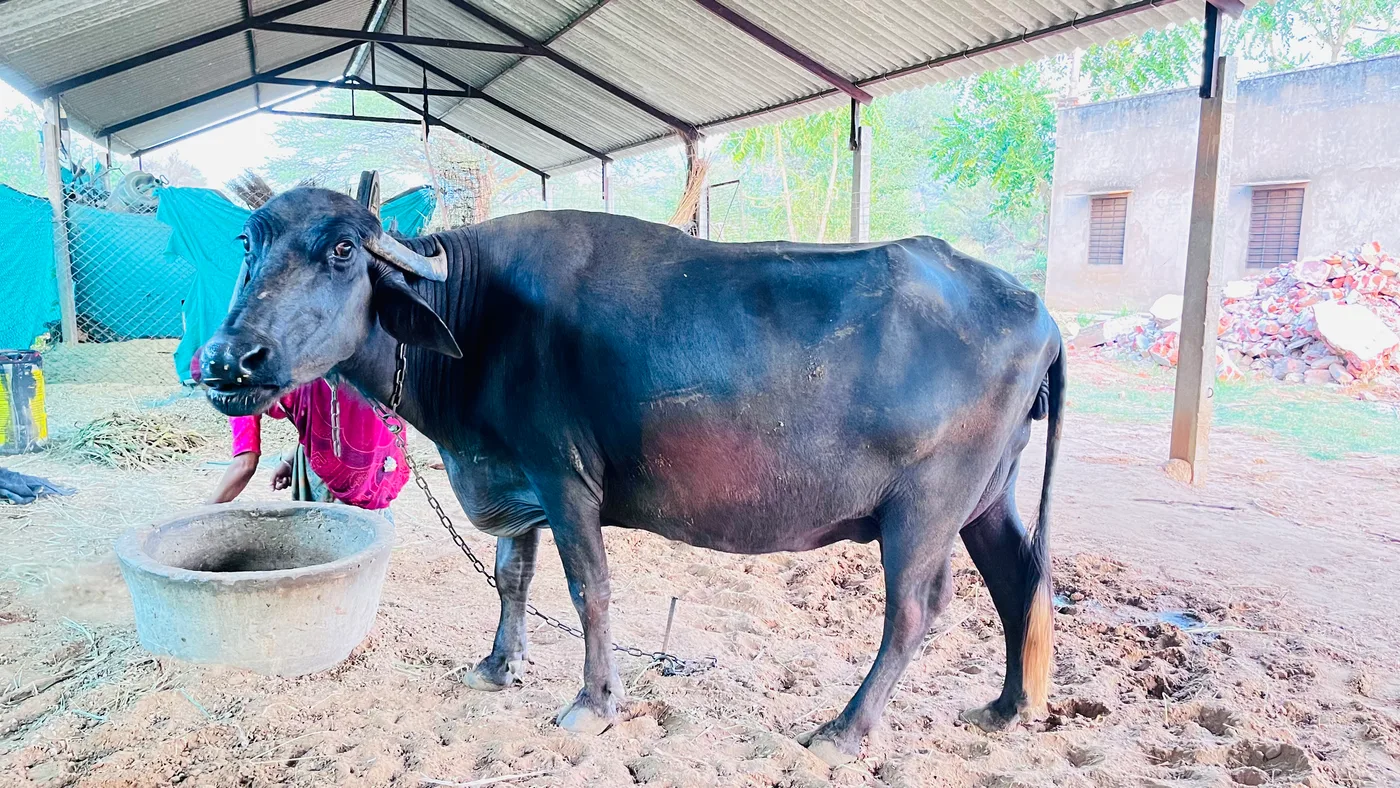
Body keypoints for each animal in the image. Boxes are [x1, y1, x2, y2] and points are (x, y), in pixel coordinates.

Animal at [200, 187, 1064, 764]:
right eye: (247, 245)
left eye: (343, 251)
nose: (227, 360)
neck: (479, 320)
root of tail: (1038, 311)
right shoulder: (517, 481)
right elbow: (511, 576)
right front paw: (498, 666)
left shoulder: (563, 479)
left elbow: (590, 588)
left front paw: (594, 701)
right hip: (987, 500)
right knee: (1019, 579)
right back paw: (1006, 707)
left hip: (925, 509)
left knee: (915, 610)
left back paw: (844, 730)